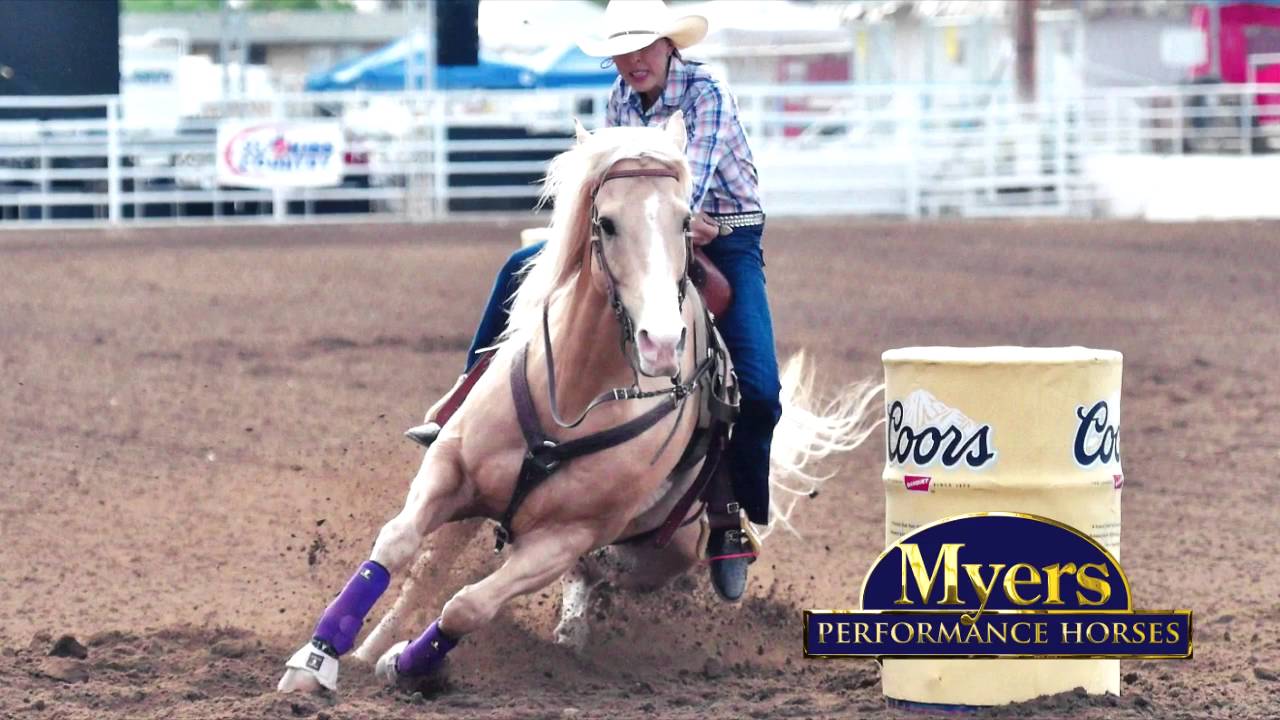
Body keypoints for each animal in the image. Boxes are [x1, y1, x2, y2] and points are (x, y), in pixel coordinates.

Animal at [277, 111, 881, 693]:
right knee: (432, 568)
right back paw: (372, 647)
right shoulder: (450, 470)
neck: (571, 396)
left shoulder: (564, 539)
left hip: (659, 554)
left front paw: (405, 667)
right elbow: (398, 545)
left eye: (685, 221)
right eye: (607, 222)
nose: (661, 344)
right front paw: (318, 659)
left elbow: (469, 606)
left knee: (593, 575)